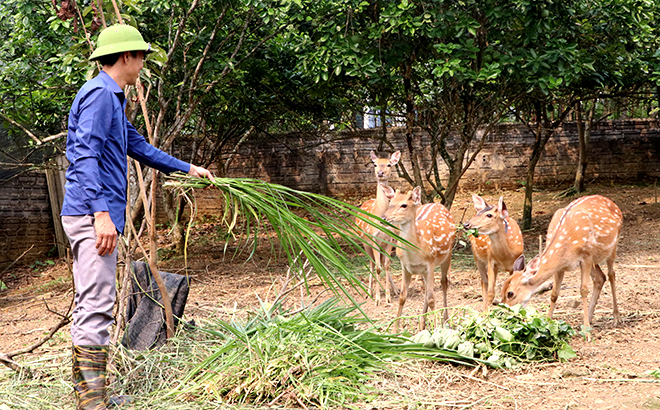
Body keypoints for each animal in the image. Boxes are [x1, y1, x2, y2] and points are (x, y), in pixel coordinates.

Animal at [356, 150, 402, 304]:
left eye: (389, 164)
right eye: (375, 164)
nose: (380, 173)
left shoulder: (388, 240)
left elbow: (386, 265)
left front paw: (388, 297)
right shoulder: (373, 239)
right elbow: (377, 268)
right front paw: (377, 298)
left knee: (381, 262)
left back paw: (395, 290)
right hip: (365, 242)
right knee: (371, 263)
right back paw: (368, 292)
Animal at [378, 185, 456, 330]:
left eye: (404, 205)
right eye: (390, 203)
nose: (383, 218)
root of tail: (439, 204)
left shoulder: (430, 264)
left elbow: (432, 299)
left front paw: (436, 329)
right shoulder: (405, 267)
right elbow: (402, 296)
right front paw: (395, 330)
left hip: (447, 255)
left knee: (444, 283)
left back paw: (445, 319)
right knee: (426, 289)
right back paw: (423, 323)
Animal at [500, 195, 624, 330]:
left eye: (510, 293)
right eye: (501, 291)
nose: (504, 314)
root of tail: (615, 206)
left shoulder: (586, 256)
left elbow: (583, 290)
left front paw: (586, 330)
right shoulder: (561, 266)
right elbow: (554, 293)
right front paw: (547, 323)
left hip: (612, 247)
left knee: (611, 275)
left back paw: (616, 318)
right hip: (594, 259)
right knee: (600, 278)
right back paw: (590, 317)